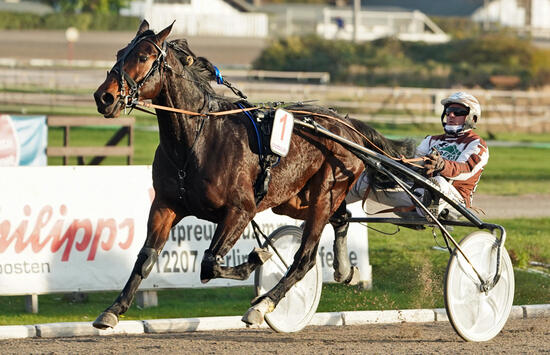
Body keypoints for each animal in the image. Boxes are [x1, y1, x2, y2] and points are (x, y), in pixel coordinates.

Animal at [92, 20, 416, 330]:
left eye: (143, 56)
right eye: (119, 53)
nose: (104, 97)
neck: (196, 139)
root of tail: (349, 127)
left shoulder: (241, 209)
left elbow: (209, 263)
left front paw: (257, 258)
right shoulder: (166, 205)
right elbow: (146, 258)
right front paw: (113, 310)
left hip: (327, 191)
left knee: (305, 258)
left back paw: (263, 304)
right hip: (293, 199)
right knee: (342, 218)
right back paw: (346, 271)